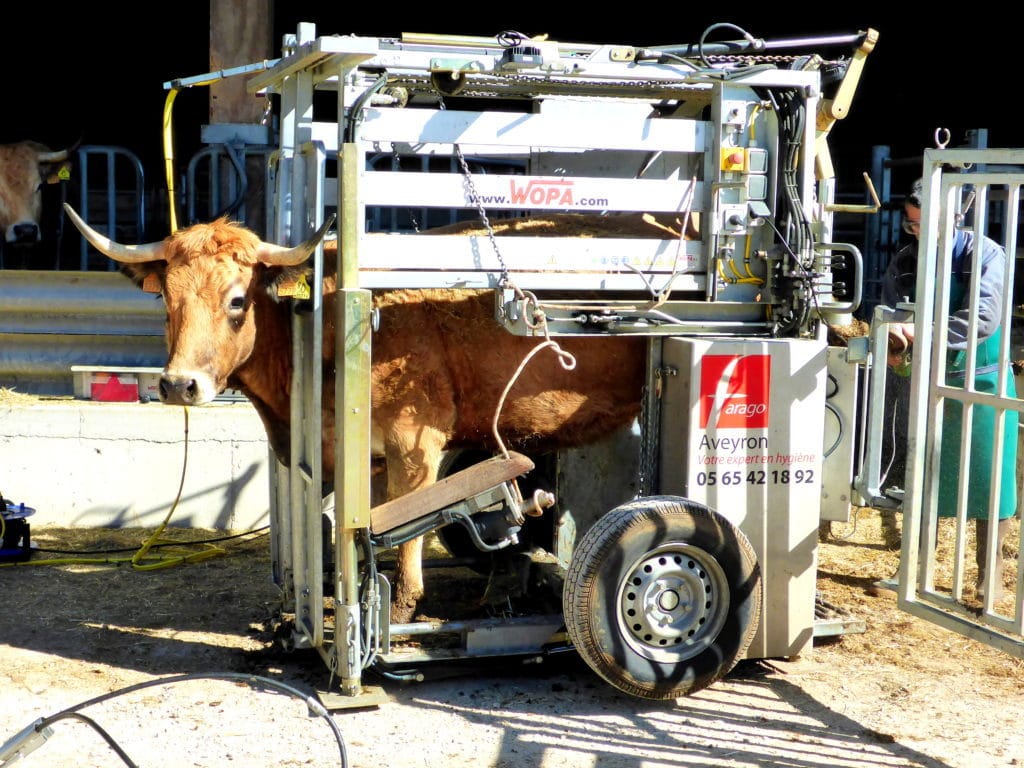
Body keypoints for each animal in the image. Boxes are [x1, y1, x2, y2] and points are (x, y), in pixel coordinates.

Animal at [66, 204, 647, 626]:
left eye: (236, 301)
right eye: (165, 299)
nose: (178, 384)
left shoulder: (414, 445)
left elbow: (407, 527)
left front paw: (400, 609)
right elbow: (349, 529)